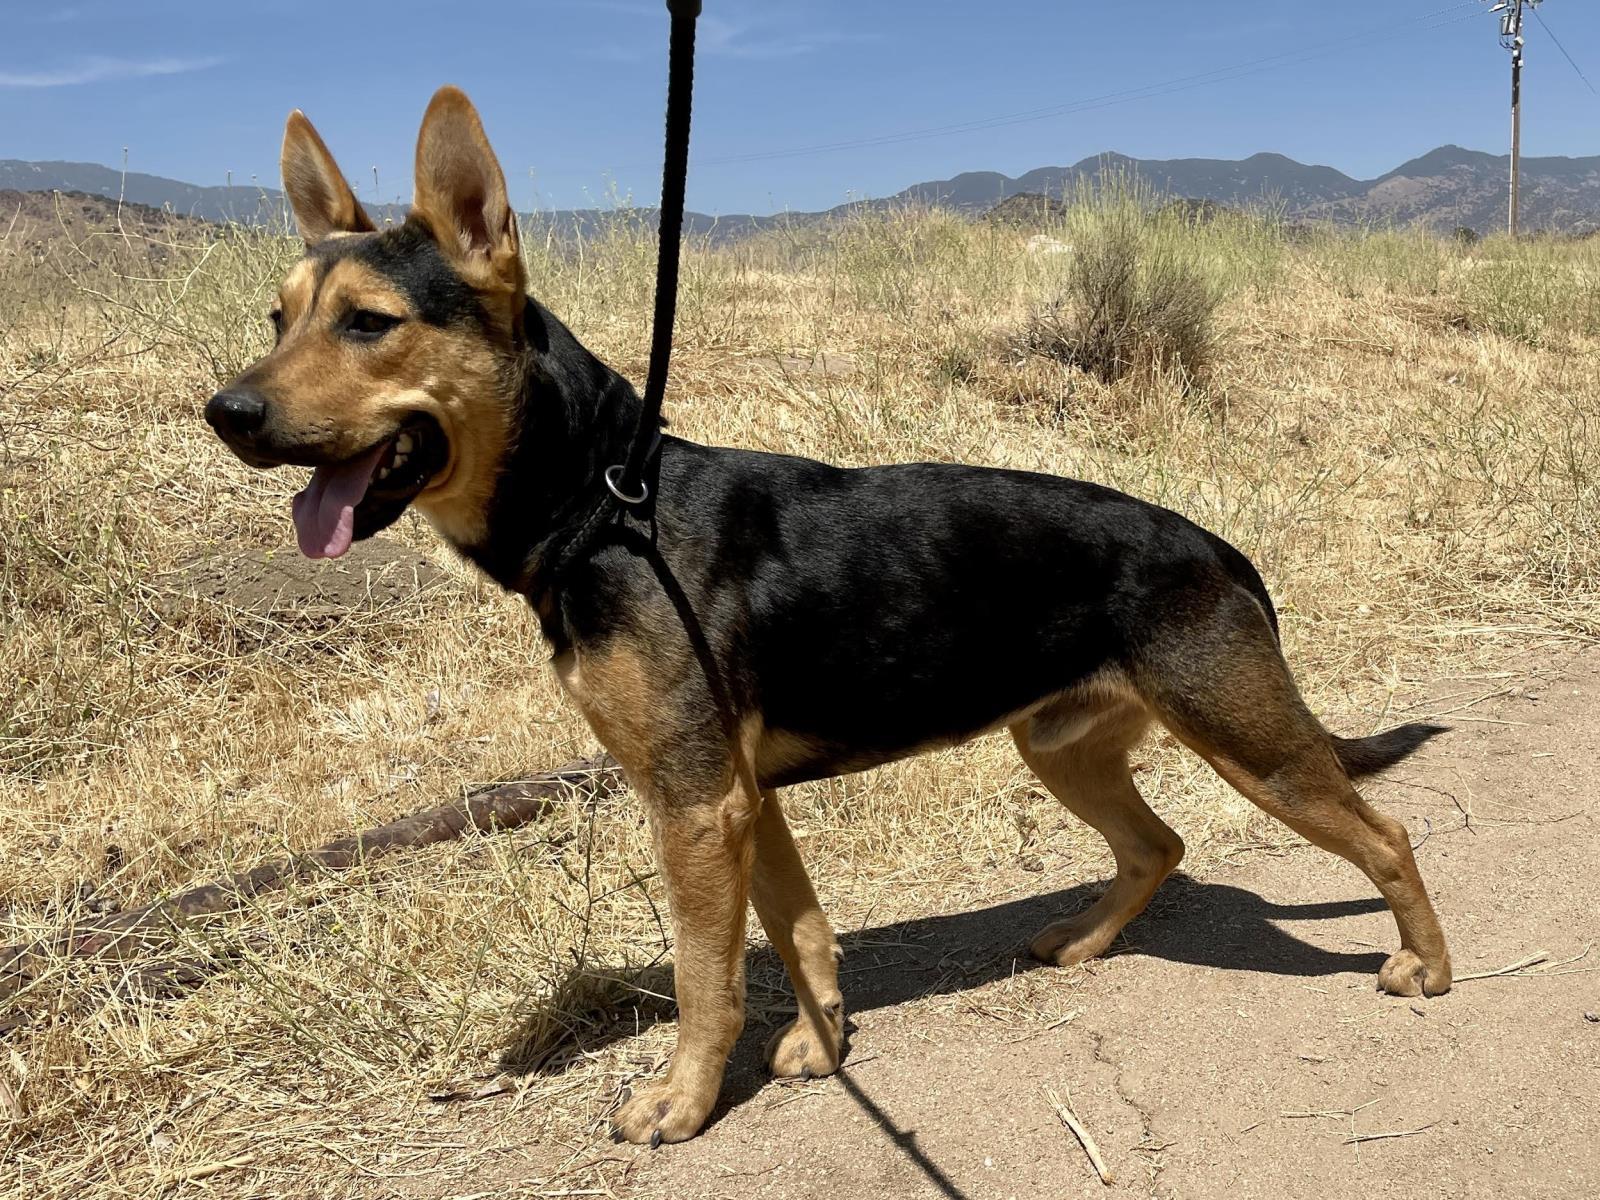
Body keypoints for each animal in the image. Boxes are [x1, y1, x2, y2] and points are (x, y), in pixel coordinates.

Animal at [203, 86, 1452, 1145]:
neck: (601, 505)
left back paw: (1426, 970)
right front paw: (820, 1045)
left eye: (368, 324)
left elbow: (705, 979)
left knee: (1384, 835)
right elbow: (798, 930)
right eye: (276, 316)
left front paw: (682, 1101)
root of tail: (1212, 546)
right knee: (1159, 843)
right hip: (1062, 747)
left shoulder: (695, 806)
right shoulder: (741, 799)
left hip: (1247, 740)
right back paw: (1088, 941)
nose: (226, 412)